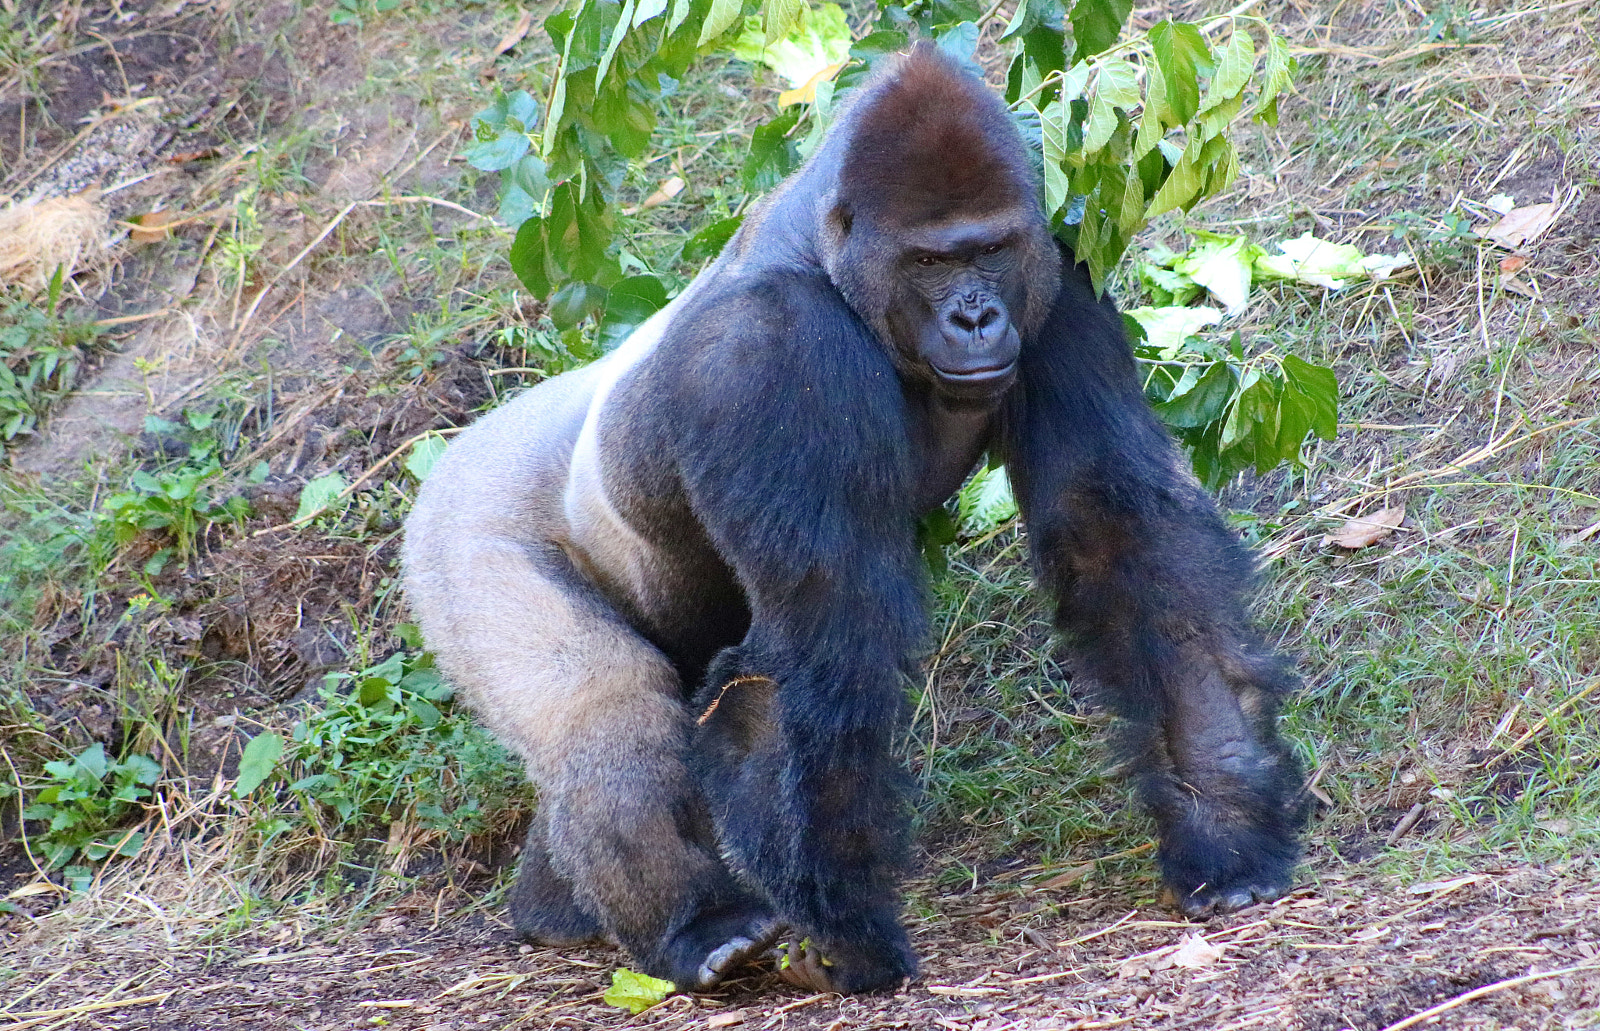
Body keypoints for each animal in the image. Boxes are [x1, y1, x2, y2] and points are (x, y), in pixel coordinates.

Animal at [402, 41, 1307, 995]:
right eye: (930, 263)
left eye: (988, 250)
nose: (976, 316)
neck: (829, 261)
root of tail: (460, 447)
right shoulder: (769, 351)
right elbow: (829, 623)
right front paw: (847, 926)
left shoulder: (1058, 281)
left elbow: (1117, 534)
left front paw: (1221, 814)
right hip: (464, 520)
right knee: (600, 704)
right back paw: (697, 923)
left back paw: (555, 906)